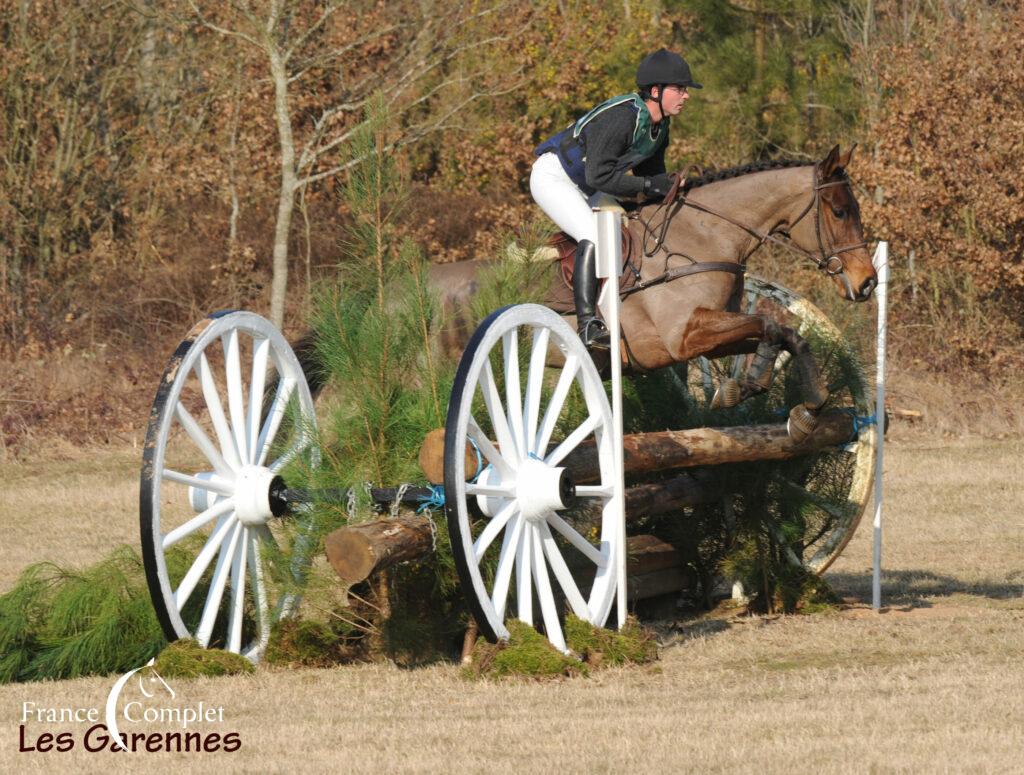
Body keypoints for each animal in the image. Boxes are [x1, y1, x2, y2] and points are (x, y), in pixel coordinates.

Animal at [428, 143, 876, 438]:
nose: (867, 282)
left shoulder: (712, 335)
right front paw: (756, 390)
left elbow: (783, 330)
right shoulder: (683, 338)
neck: (703, 236)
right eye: (840, 212)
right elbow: (767, 323)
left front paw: (800, 402)